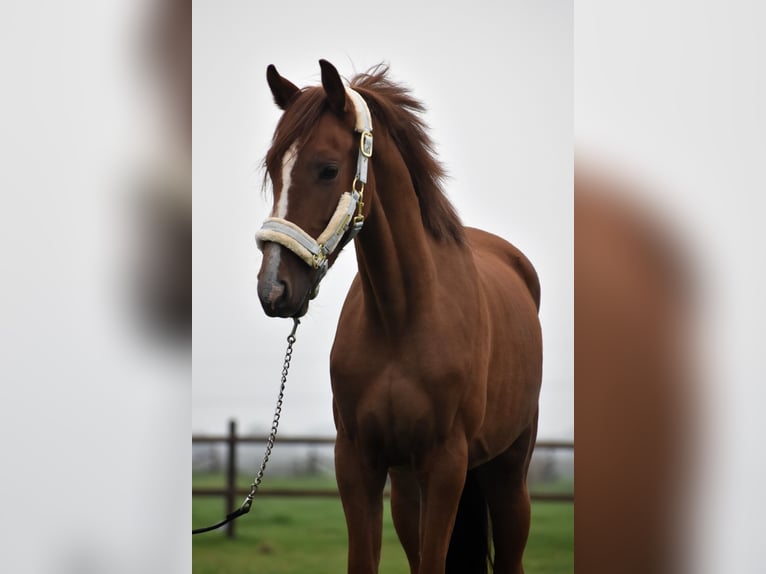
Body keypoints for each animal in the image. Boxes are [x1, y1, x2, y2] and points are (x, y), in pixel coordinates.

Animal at [255, 60, 544, 574]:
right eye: (272, 168)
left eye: (328, 169)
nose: (273, 288)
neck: (400, 319)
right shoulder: (356, 460)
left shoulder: (446, 464)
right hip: (408, 485)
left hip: (510, 473)